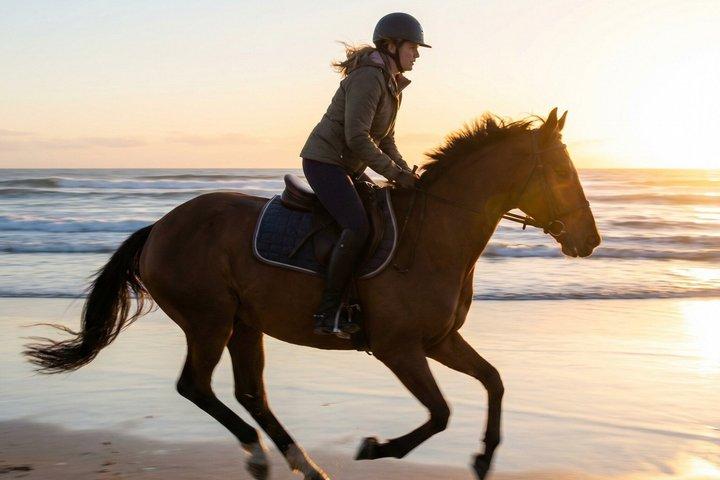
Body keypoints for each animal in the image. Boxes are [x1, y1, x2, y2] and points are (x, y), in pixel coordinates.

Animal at [25, 108, 600, 480]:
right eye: (562, 171)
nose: (589, 240)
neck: (434, 235)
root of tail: (159, 228)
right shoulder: (399, 349)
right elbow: (439, 413)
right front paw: (375, 448)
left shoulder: (438, 341)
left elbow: (494, 382)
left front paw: (483, 457)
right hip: (209, 320)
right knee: (196, 386)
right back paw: (261, 456)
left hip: (244, 324)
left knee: (250, 394)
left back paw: (301, 462)